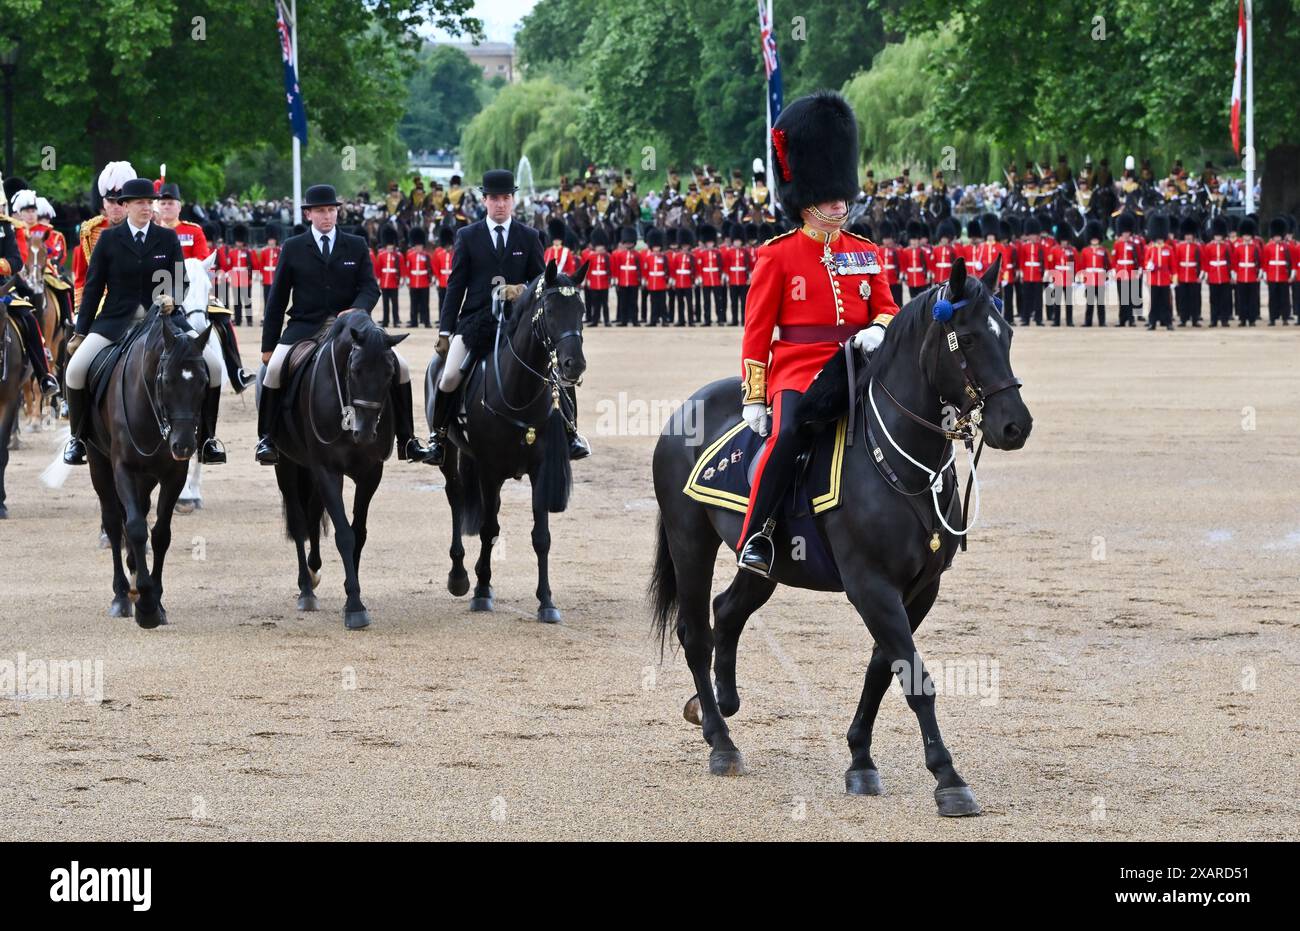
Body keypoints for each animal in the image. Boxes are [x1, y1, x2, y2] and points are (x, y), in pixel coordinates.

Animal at [86, 301, 214, 629]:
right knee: (114, 522)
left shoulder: (173, 474)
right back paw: (122, 595)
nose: (183, 445)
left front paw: (155, 601)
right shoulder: (123, 469)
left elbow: (160, 534)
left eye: (203, 382)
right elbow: (134, 528)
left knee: (138, 514)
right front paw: (144, 605)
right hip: (98, 464)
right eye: (166, 380)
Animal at [275, 314, 410, 631]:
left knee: (313, 513)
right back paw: (306, 588)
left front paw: (353, 594)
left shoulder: (370, 474)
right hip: (286, 465)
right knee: (298, 521)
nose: (365, 432)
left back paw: (313, 570)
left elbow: (357, 533)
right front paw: (355, 607)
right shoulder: (327, 471)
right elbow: (344, 535)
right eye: (355, 370)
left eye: (390, 373)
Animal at [423, 261, 587, 621]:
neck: (519, 391)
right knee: (456, 497)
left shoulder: (540, 470)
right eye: (550, 310)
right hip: (452, 453)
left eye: (582, 310)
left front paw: (546, 601)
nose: (574, 365)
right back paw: (460, 576)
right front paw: (482, 590)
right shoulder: (490, 470)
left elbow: (541, 536)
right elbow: (488, 528)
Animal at [650, 258, 1034, 816]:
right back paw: (721, 742)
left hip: (766, 562)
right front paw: (948, 777)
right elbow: (914, 678)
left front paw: (860, 761)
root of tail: (688, 405)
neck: (900, 461)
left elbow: (884, 670)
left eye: (1006, 333)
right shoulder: (871, 586)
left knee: (729, 609)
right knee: (696, 632)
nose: (1015, 425)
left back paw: (716, 704)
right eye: (965, 337)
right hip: (690, 542)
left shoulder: (918, 590)